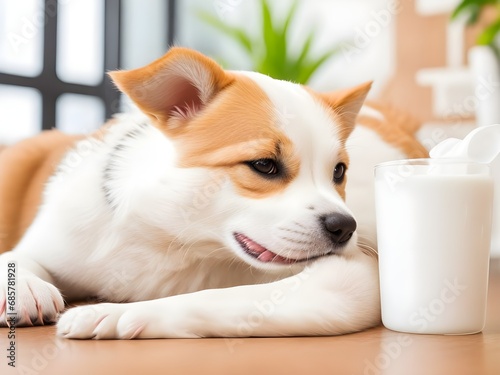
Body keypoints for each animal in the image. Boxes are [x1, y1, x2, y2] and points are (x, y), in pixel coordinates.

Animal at [0, 47, 426, 340]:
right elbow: (16, 255)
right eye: (264, 165)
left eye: (338, 171)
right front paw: (24, 286)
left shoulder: (349, 280)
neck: (175, 239)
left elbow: (213, 299)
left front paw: (115, 315)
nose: (343, 227)